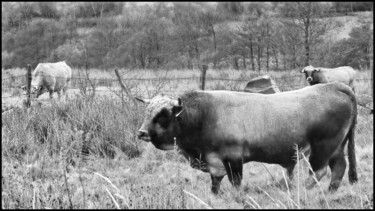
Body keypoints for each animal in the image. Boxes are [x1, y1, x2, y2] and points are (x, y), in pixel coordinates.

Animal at [137, 81, 360, 194]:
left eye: (162, 115)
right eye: (147, 112)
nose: (142, 133)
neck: (205, 115)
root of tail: (334, 86)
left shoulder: (233, 158)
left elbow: (235, 183)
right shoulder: (214, 161)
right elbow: (215, 183)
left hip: (323, 147)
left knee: (319, 171)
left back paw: (300, 190)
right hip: (336, 147)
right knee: (339, 167)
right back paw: (330, 191)